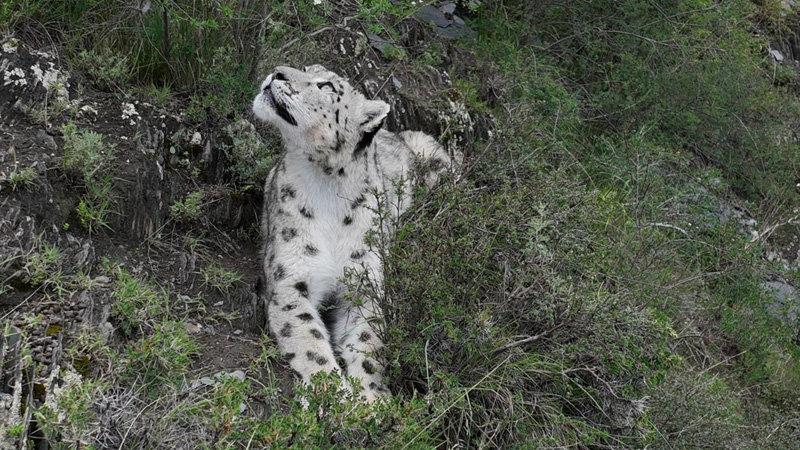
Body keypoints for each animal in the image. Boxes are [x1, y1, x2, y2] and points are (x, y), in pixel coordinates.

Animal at [253, 65, 460, 402]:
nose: (278, 72)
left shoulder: (365, 287)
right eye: (306, 69)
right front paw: (333, 396)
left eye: (326, 86)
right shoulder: (290, 282)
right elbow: (310, 343)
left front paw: (371, 400)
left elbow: (368, 345)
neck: (326, 184)